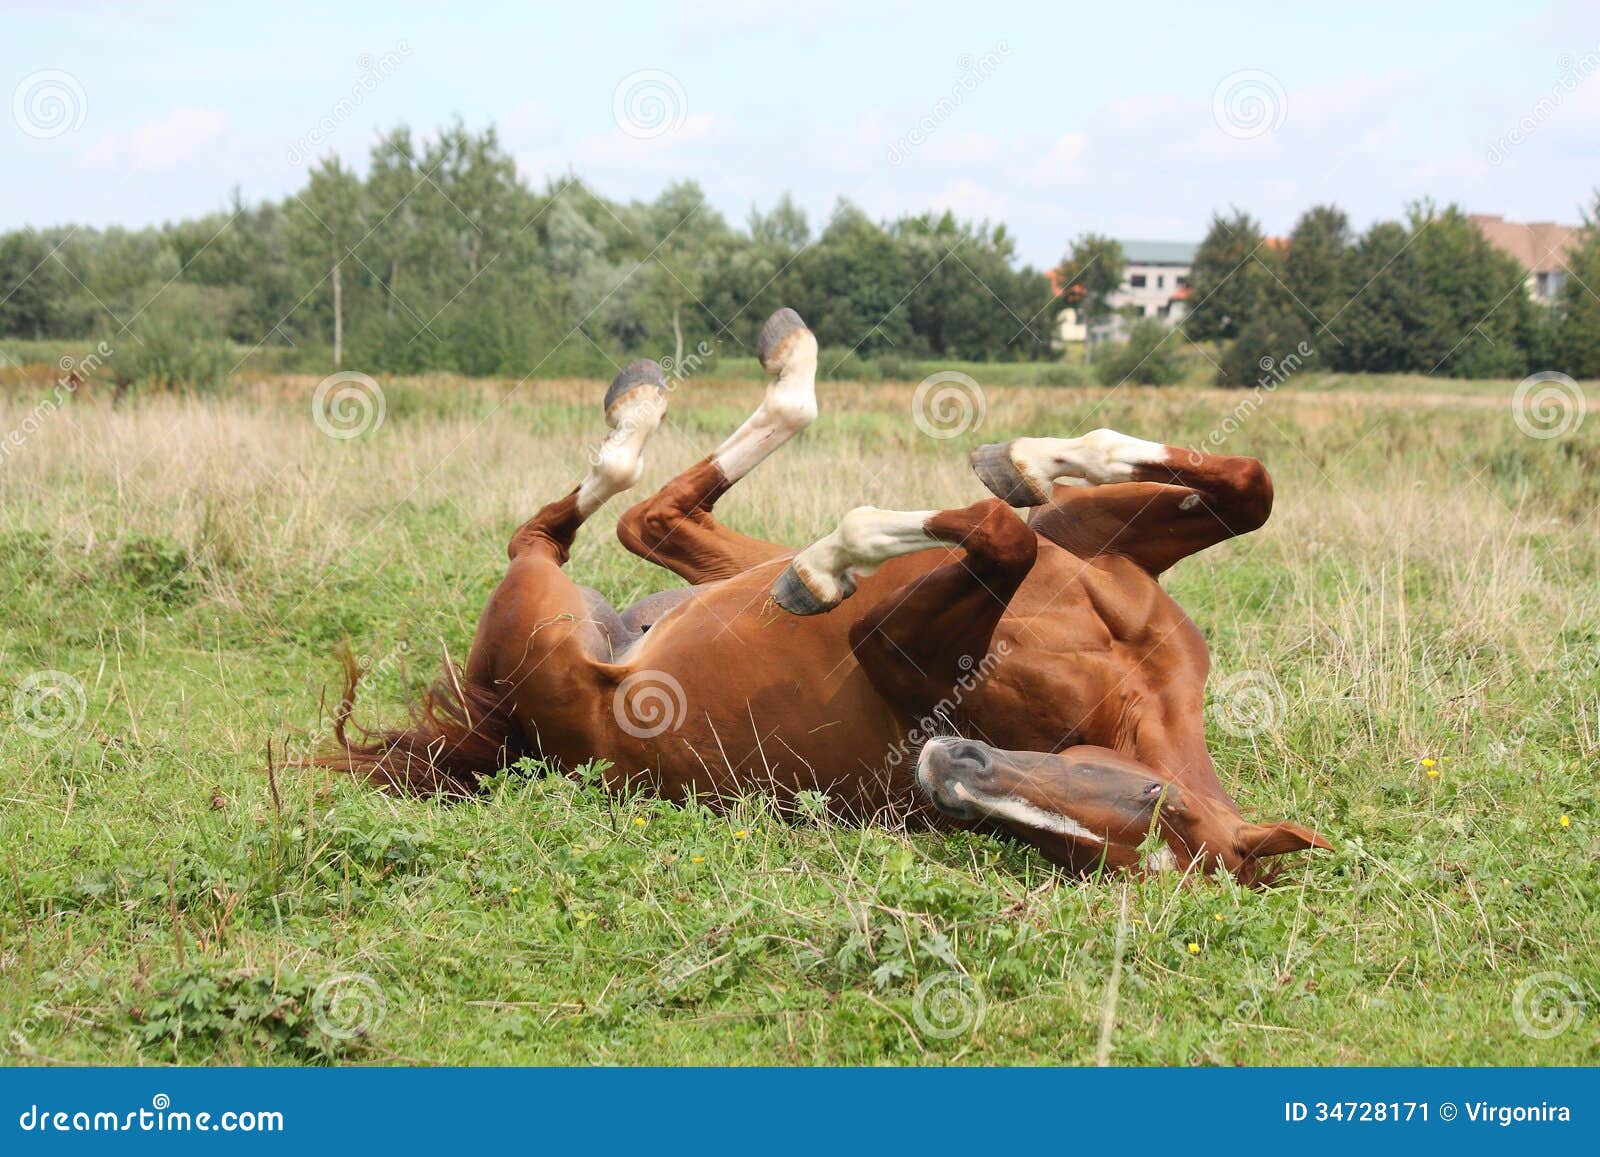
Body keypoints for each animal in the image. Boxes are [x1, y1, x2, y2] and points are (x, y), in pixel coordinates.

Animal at [322, 308, 1330, 884]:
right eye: (1157, 800)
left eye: (1083, 856)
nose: (949, 777)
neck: (1129, 691)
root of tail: (502, 722)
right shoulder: (1088, 544)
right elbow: (1246, 485)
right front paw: (1023, 459)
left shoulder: (893, 644)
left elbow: (994, 532)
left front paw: (832, 560)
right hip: (695, 571)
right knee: (644, 513)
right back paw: (740, 368)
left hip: (546, 603)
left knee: (574, 524)